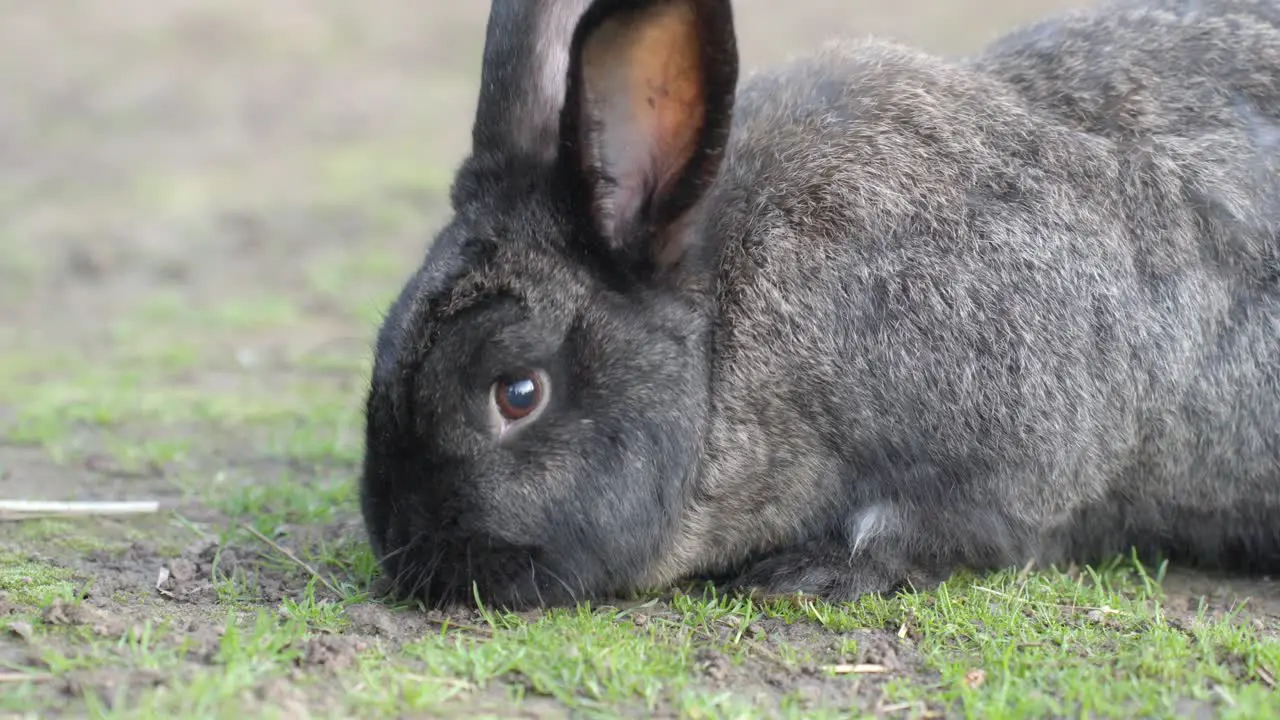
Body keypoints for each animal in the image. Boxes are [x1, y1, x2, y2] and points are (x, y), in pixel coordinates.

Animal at [358, 0, 1280, 607]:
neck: (725, 338)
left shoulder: (1018, 454)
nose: (405, 552)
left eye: (517, 393)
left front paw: (810, 574)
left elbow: (951, 530)